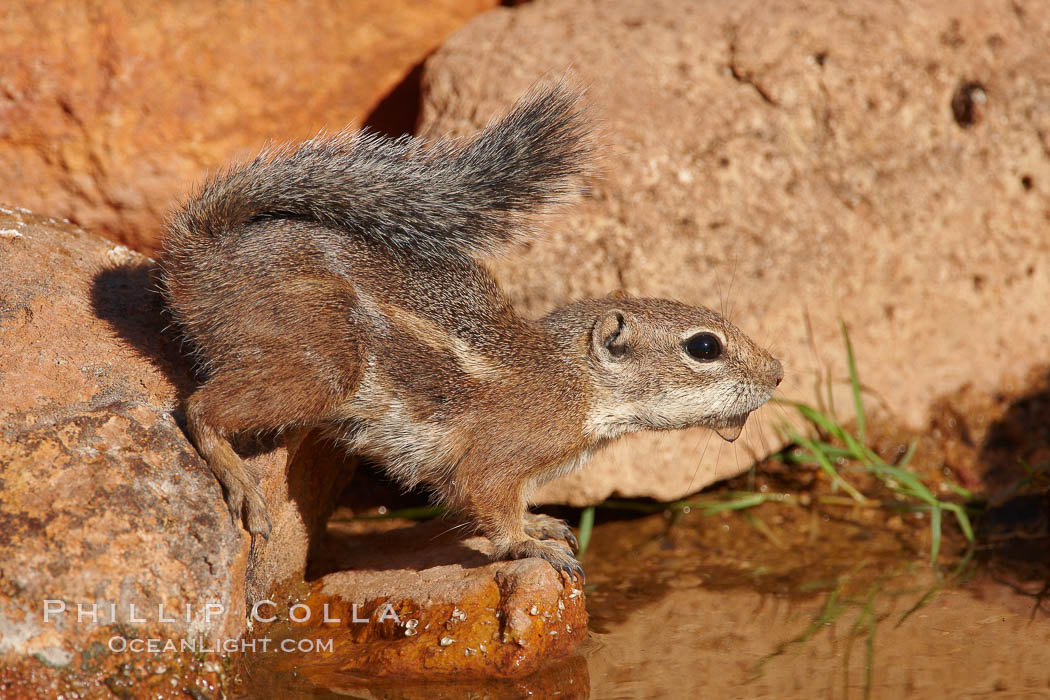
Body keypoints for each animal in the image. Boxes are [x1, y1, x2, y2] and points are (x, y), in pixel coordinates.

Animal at [155, 82, 781, 579]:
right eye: (704, 346)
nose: (778, 372)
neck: (577, 382)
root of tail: (201, 250)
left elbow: (515, 503)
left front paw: (540, 523)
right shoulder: (498, 456)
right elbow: (487, 502)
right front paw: (528, 545)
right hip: (320, 366)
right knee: (198, 408)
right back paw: (239, 481)